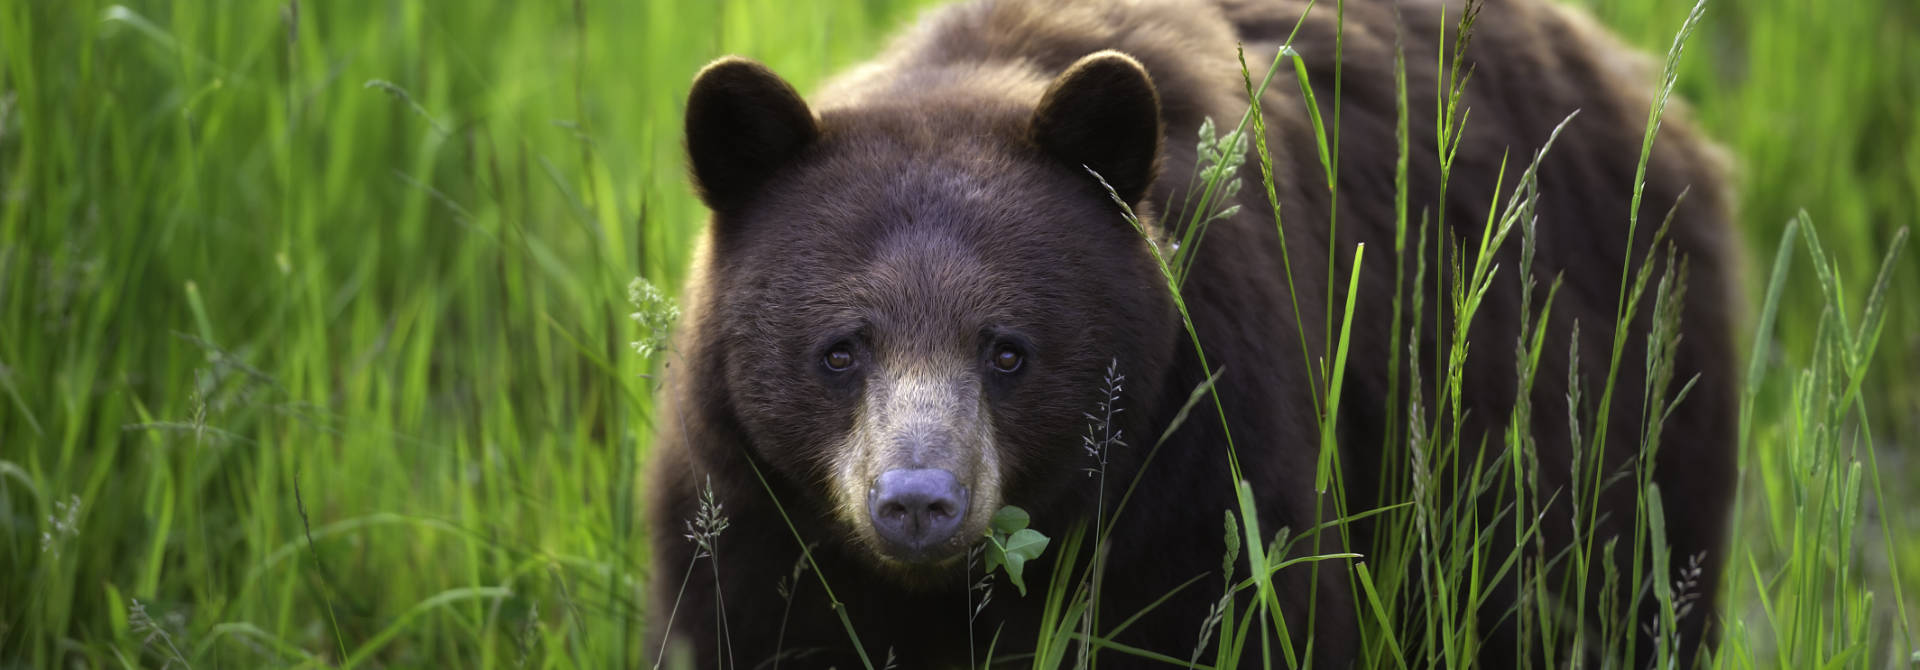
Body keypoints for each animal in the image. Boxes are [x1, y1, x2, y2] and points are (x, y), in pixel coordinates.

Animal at [646, 0, 1738, 667]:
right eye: (841, 349)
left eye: (1008, 350)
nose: (918, 503)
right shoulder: (750, 513)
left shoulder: (1203, 456)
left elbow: (1236, 611)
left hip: (1600, 398)